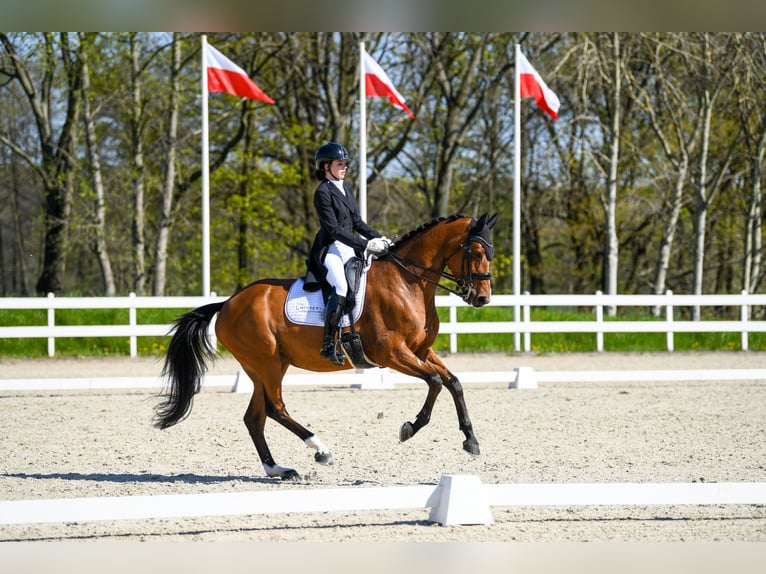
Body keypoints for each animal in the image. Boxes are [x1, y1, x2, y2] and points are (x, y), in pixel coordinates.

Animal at [157, 214, 504, 480]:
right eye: (475, 252)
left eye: (490, 252)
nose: (482, 298)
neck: (408, 282)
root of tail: (228, 303)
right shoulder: (392, 353)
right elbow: (434, 382)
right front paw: (410, 428)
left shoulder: (420, 351)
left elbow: (453, 383)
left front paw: (471, 440)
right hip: (267, 363)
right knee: (275, 408)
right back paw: (320, 449)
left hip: (265, 367)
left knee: (255, 417)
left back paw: (278, 469)